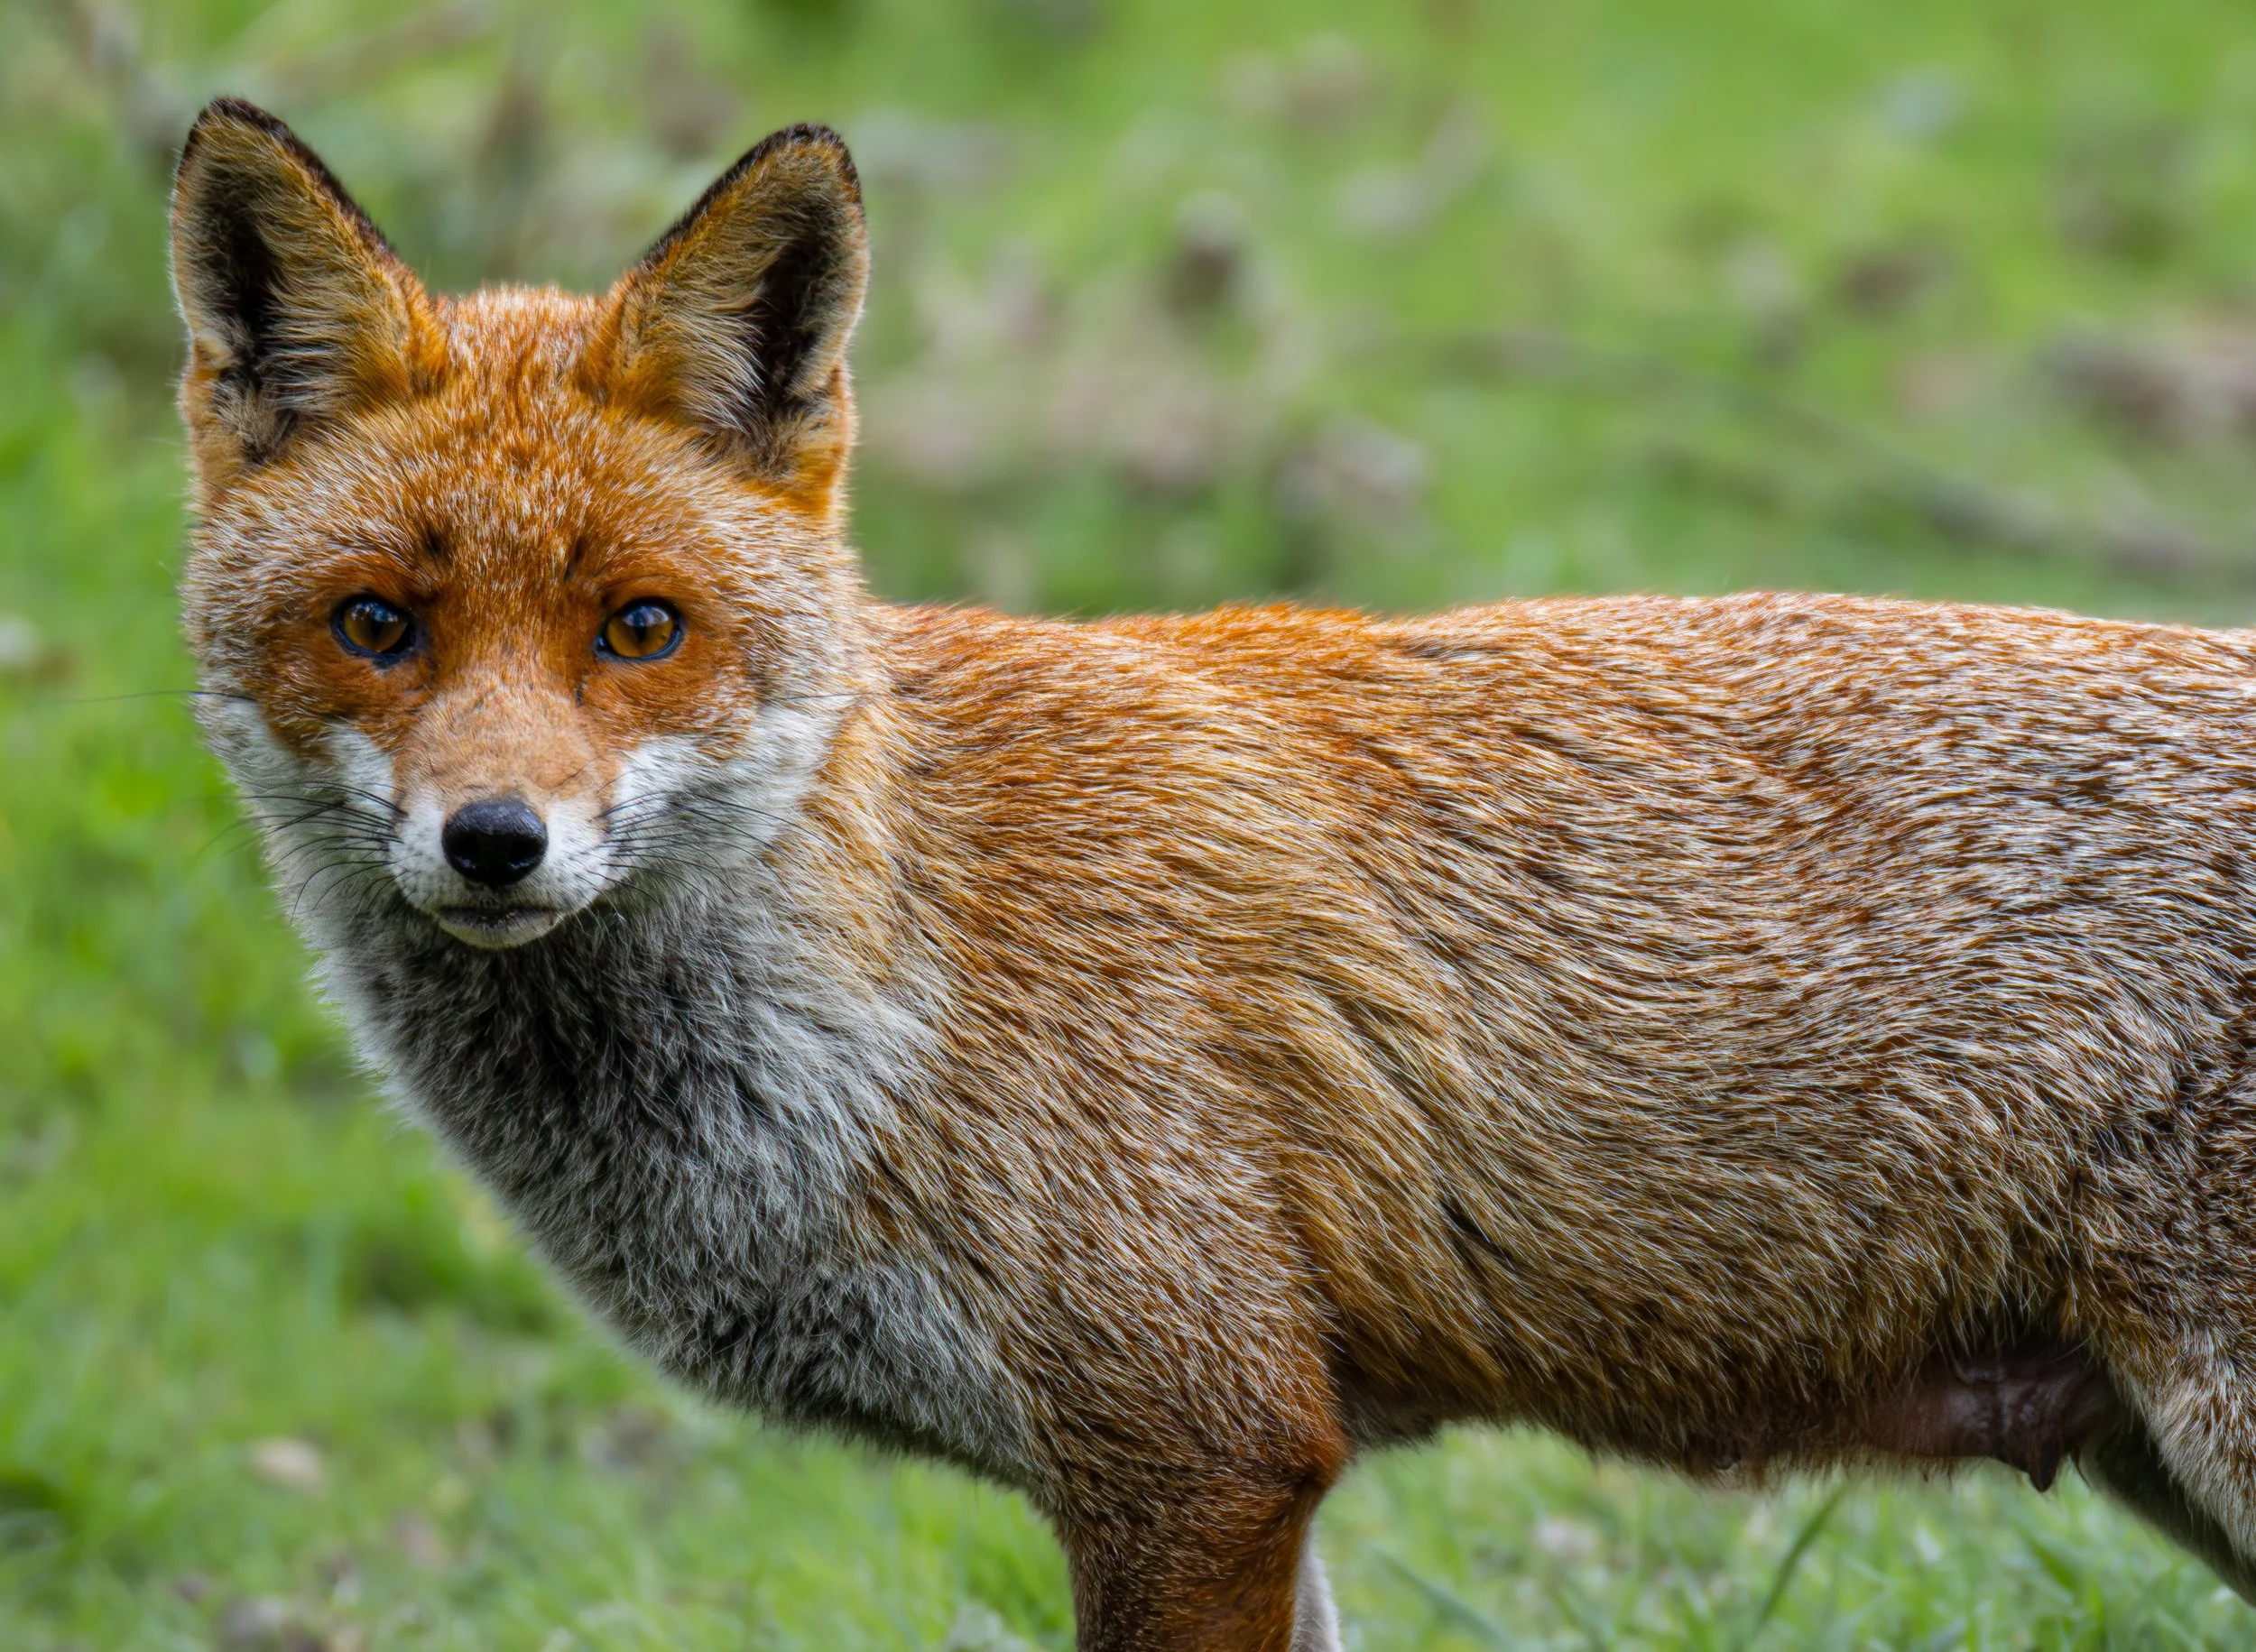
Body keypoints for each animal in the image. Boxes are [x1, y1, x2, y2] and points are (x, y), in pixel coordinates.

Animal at [171, 95, 2256, 1648]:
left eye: (639, 629)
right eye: (375, 627)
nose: (494, 841)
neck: (904, 976)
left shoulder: (1200, 1447)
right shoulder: (1227, 1472)